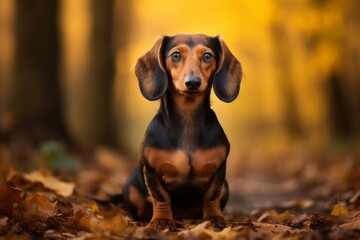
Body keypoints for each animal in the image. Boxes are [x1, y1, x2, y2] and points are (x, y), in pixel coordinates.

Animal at [123, 33, 242, 231]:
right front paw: (162, 220)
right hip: (130, 188)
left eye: (208, 56)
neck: (187, 119)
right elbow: (160, 197)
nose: (192, 83)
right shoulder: (151, 172)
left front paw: (213, 218)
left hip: (227, 187)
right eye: (176, 55)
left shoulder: (219, 171)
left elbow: (212, 196)